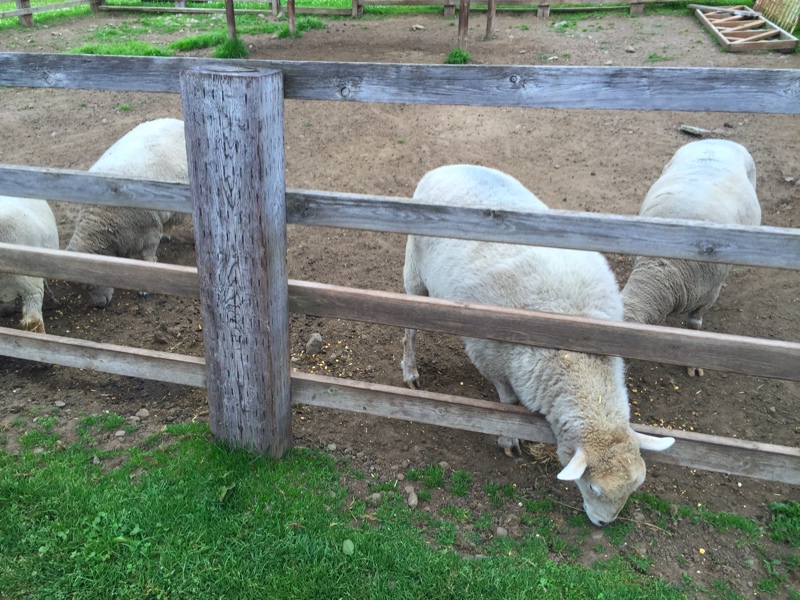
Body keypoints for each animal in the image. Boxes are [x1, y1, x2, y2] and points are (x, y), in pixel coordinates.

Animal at [400, 164, 676, 524]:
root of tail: (445, 167)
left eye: (635, 487)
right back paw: (410, 372)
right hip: (415, 273)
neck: (574, 347)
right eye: (594, 487)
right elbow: (506, 405)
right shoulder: (492, 356)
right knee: (410, 330)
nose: (604, 524)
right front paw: (508, 439)